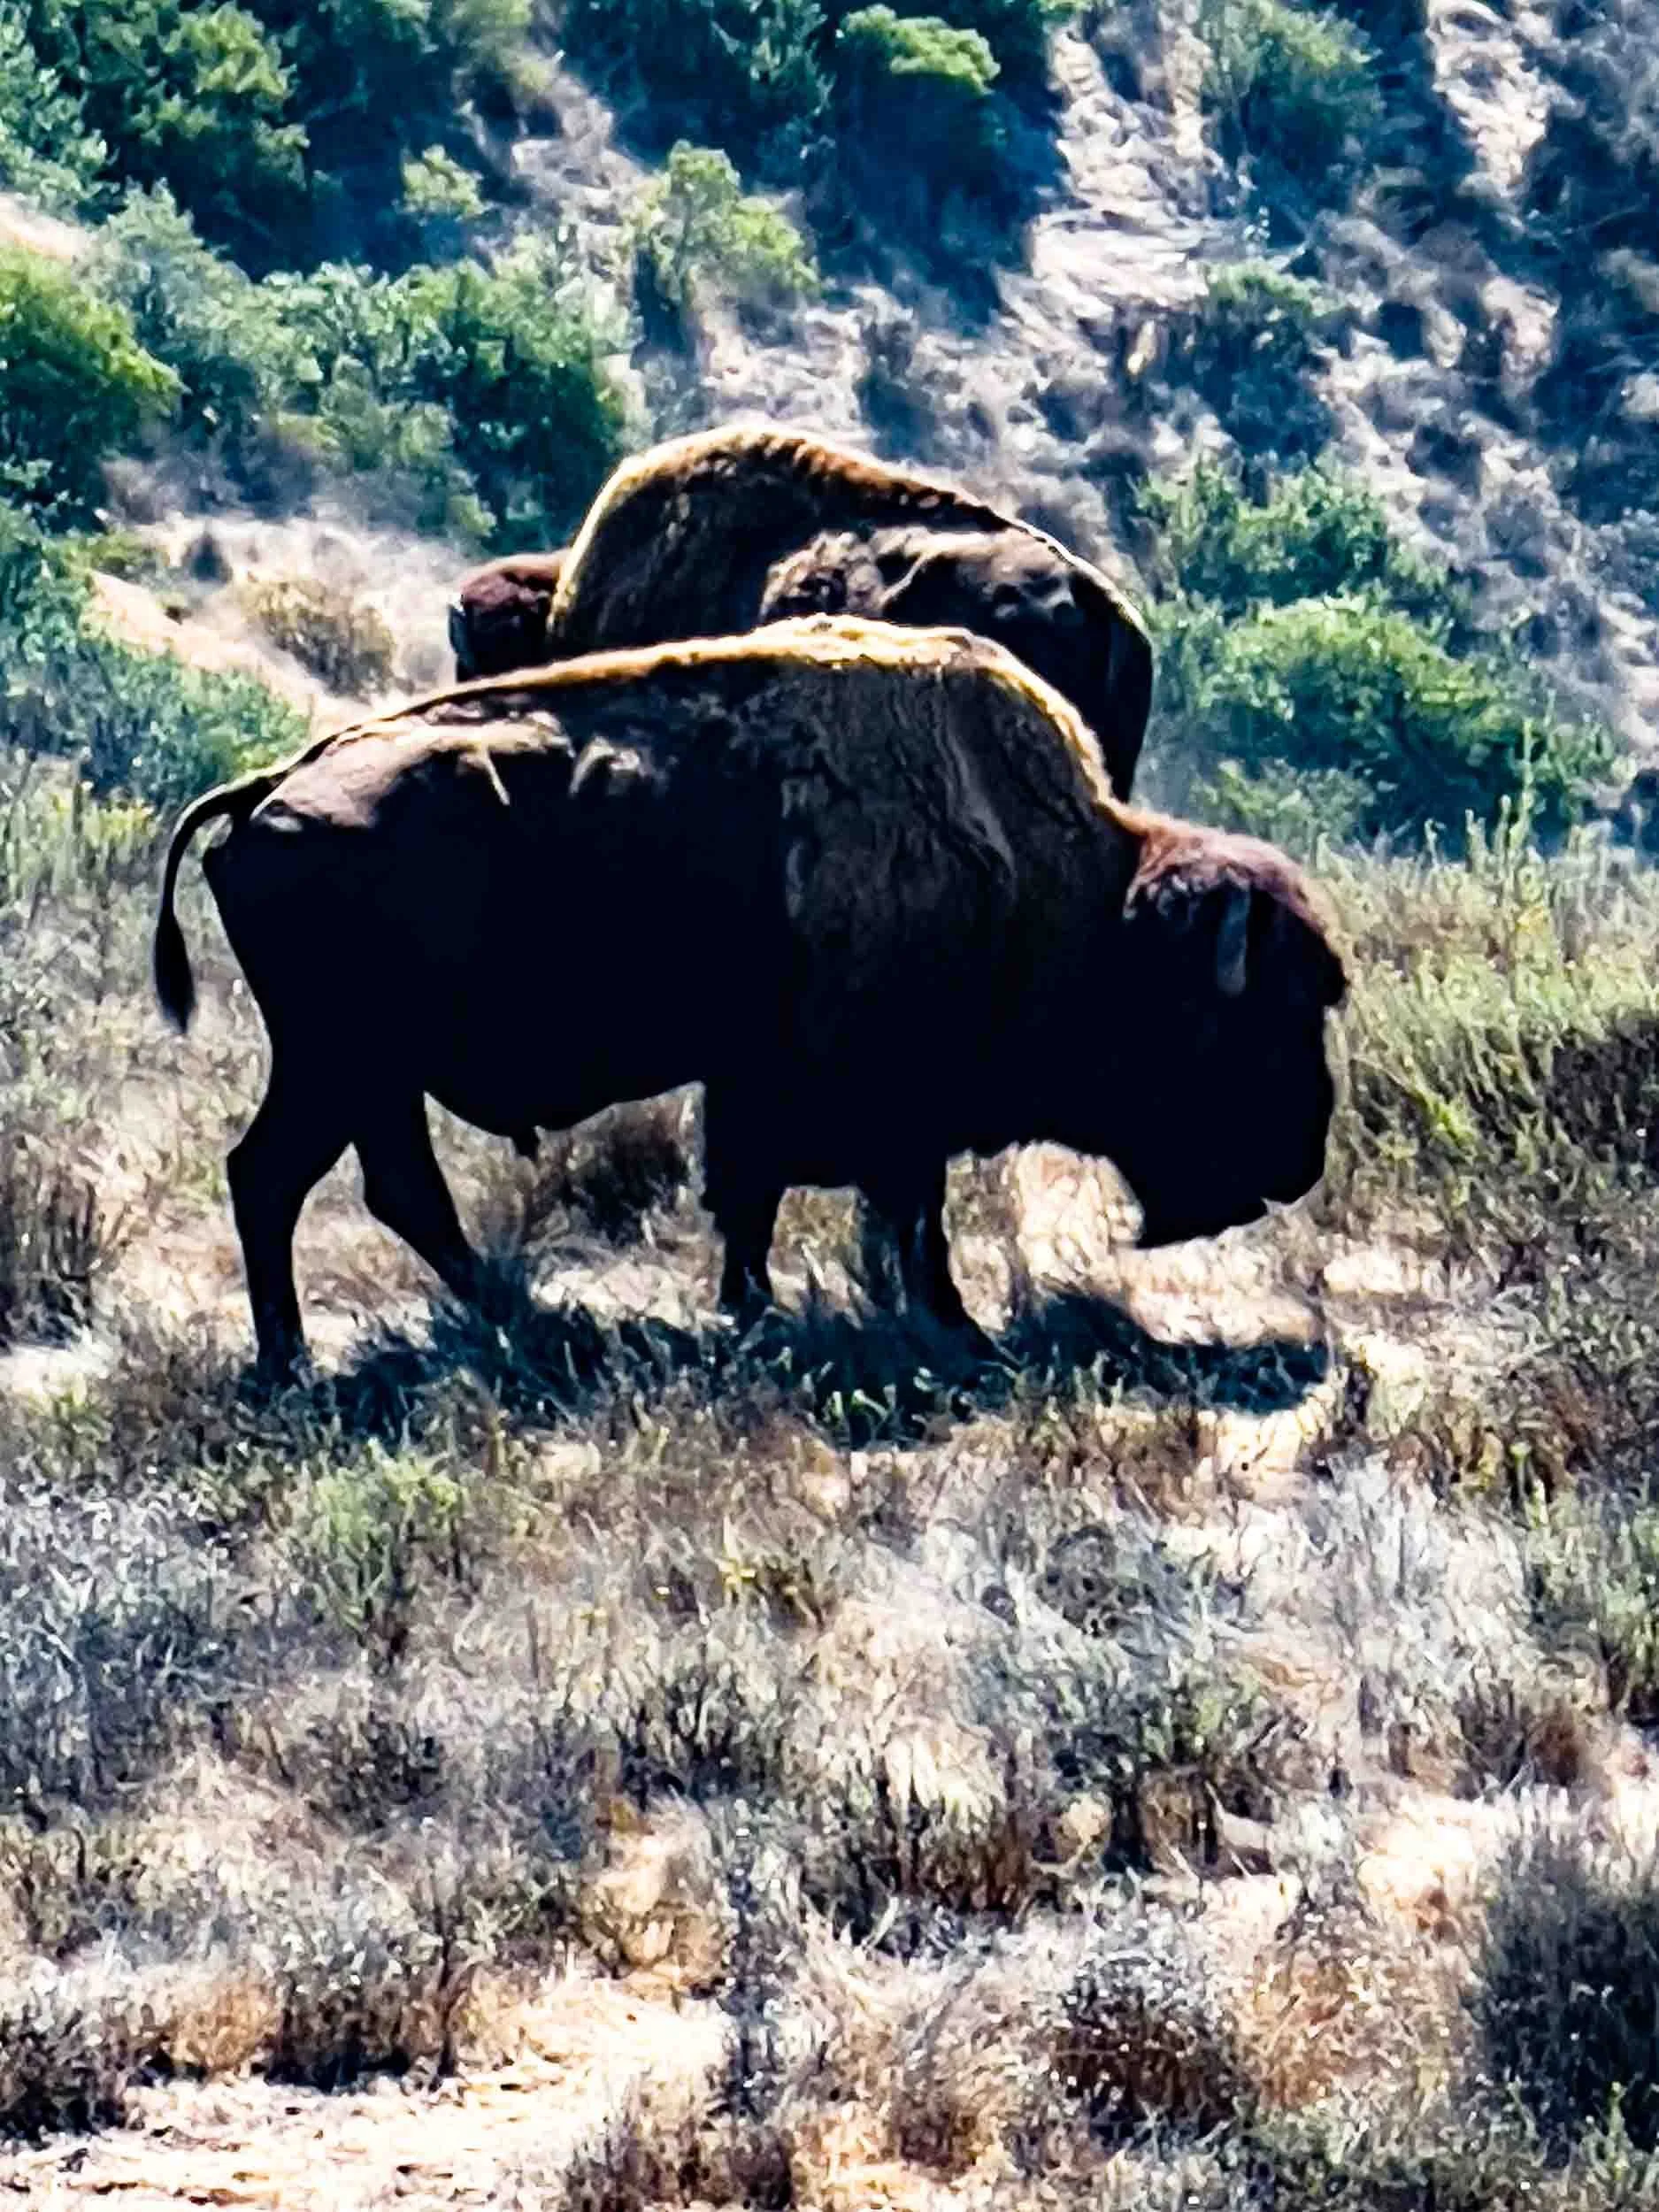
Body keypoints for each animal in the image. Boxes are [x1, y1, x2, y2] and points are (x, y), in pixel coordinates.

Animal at [154, 617, 1344, 1378]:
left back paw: (464, 1329)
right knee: (302, 1180)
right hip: (344, 1062)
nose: (1303, 1156)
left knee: (347, 1184)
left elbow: (768, 1202)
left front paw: (760, 1308)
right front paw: (942, 1325)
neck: (1060, 879)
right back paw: (377, 1347)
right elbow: (887, 1210)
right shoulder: (869, 1103)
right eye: (1255, 1019)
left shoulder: (764, 1089)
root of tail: (272, 788)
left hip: (356, 1073)